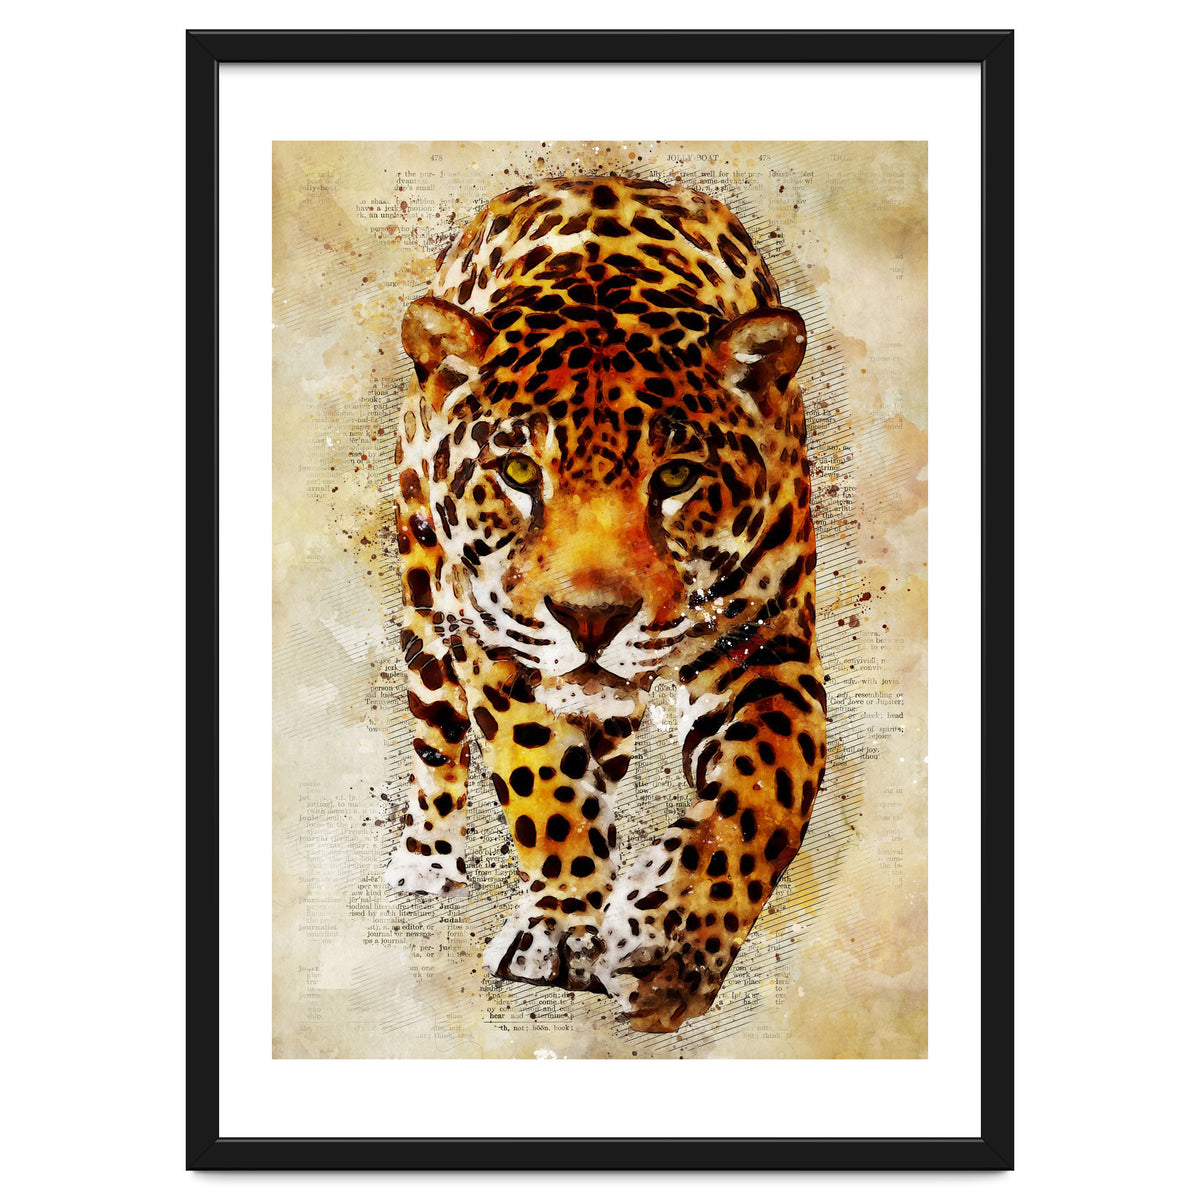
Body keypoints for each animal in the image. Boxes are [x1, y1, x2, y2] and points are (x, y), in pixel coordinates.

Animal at [384, 175, 826, 1033]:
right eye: (519, 472)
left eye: (677, 476)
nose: (591, 619)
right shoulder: (497, 640)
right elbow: (540, 774)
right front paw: (562, 928)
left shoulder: (769, 644)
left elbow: (767, 790)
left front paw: (668, 945)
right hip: (426, 600)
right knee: (436, 734)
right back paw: (427, 859)